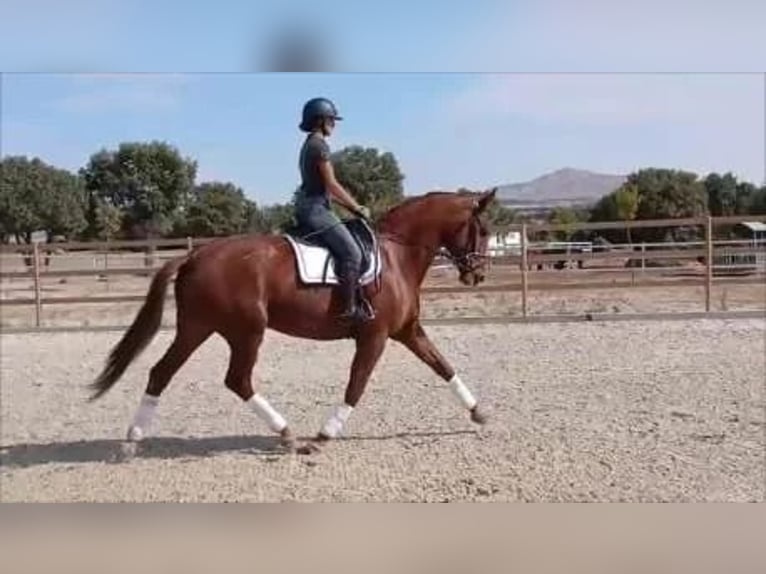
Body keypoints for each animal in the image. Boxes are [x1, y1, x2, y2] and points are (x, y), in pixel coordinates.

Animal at [88, 188, 497, 454]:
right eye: (484, 230)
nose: (477, 275)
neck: (398, 255)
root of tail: (193, 256)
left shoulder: (408, 331)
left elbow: (443, 366)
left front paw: (479, 412)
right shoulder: (375, 336)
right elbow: (357, 384)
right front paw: (325, 435)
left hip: (197, 328)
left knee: (162, 372)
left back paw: (133, 439)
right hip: (245, 332)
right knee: (237, 380)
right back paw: (286, 434)